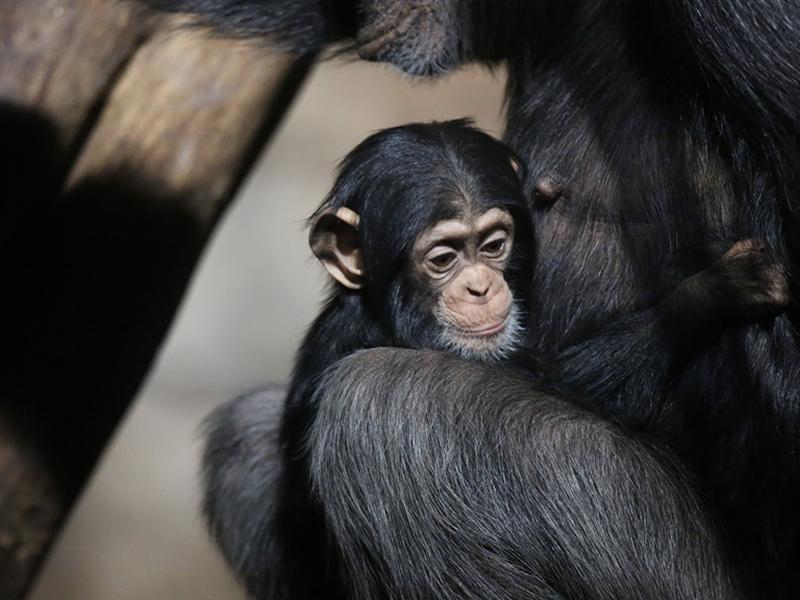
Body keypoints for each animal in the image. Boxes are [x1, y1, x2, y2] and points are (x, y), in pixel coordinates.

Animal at [148, 1, 800, 600]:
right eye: (443, 258)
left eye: (492, 245)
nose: (481, 286)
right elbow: (562, 375)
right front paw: (717, 291)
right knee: (376, 408)